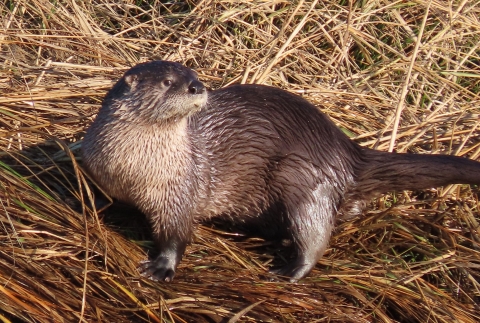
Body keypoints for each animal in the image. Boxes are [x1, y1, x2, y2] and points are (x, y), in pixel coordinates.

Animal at [81, 61, 480, 284]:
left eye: (194, 74)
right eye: (167, 81)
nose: (197, 86)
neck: (134, 169)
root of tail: (349, 153)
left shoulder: (179, 191)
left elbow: (176, 235)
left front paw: (161, 268)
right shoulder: (99, 168)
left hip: (305, 182)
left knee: (315, 234)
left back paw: (290, 271)